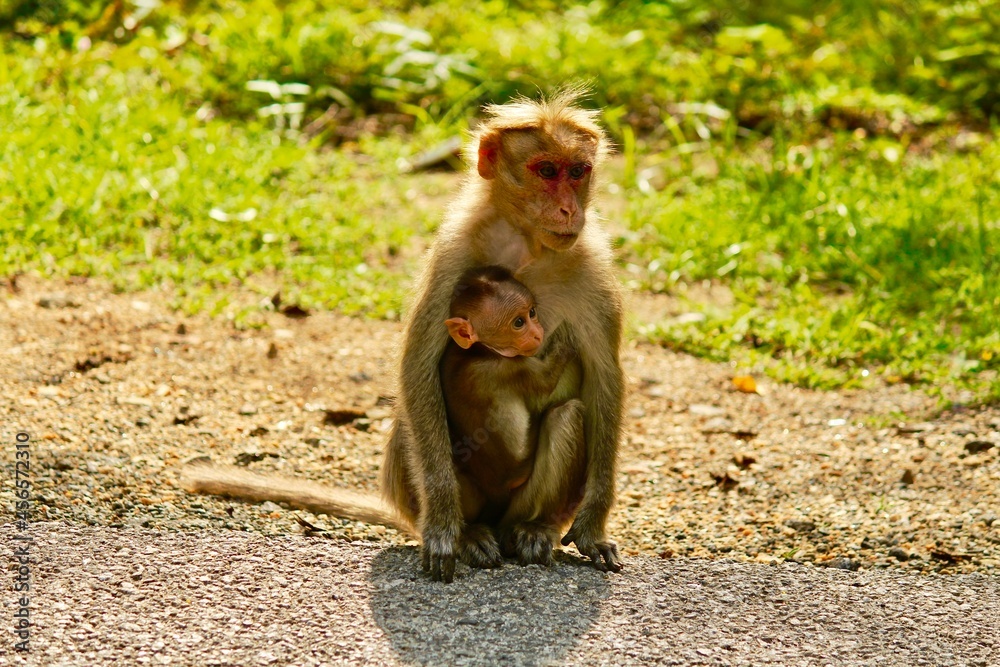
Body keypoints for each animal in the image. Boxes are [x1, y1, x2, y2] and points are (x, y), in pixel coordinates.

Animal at [440, 265, 581, 556]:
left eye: (532, 312)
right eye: (518, 323)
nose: (538, 332)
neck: (479, 349)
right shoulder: (512, 368)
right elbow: (547, 381)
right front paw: (566, 341)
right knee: (565, 411)